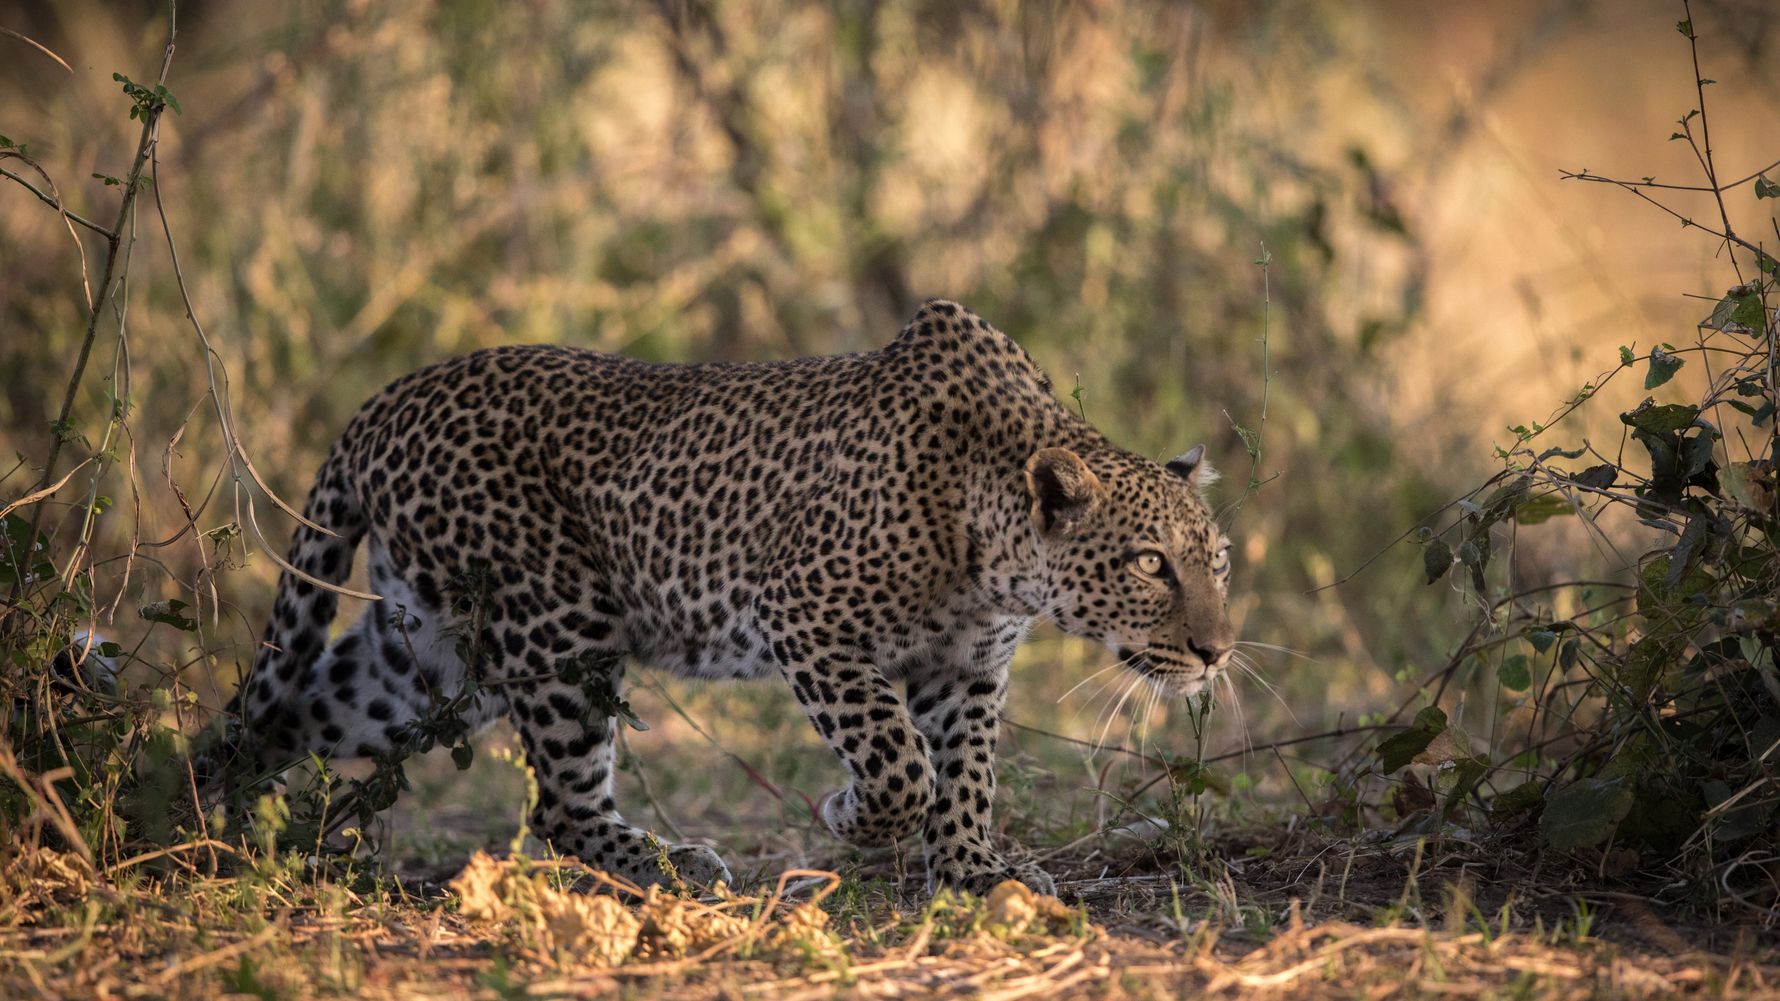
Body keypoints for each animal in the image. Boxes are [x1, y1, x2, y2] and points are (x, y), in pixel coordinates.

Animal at [231, 299, 1238, 896]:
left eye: (1218, 561)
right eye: (1151, 564)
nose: (1217, 651)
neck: (994, 543)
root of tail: (386, 400)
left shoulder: (968, 665)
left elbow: (968, 772)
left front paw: (973, 870)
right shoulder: (807, 616)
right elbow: (901, 762)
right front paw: (851, 816)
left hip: (429, 656)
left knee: (274, 715)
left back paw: (209, 821)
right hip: (557, 625)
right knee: (559, 803)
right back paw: (670, 864)